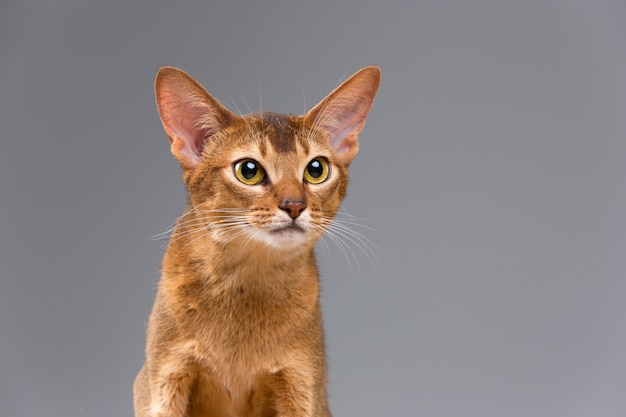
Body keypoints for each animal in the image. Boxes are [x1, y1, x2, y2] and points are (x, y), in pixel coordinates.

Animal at [133, 65, 378, 416]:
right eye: (248, 170)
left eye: (317, 169)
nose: (294, 206)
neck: (246, 280)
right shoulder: (161, 379)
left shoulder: (302, 384)